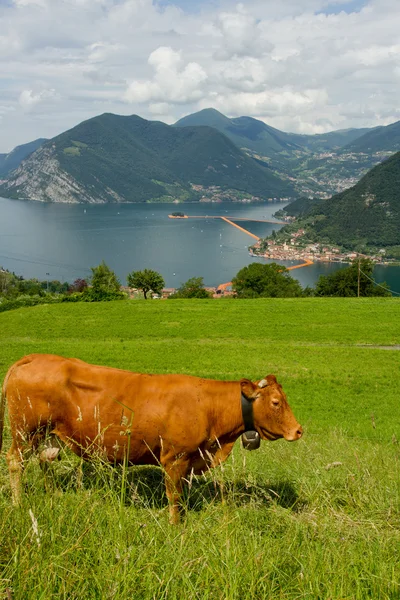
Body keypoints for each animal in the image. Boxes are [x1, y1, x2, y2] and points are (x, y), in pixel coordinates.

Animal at [0, 354, 302, 524]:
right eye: (276, 402)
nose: (299, 430)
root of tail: (34, 357)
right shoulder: (175, 458)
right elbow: (174, 496)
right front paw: (176, 526)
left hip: (48, 434)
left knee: (46, 460)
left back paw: (54, 496)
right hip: (24, 431)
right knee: (15, 461)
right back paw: (18, 504)